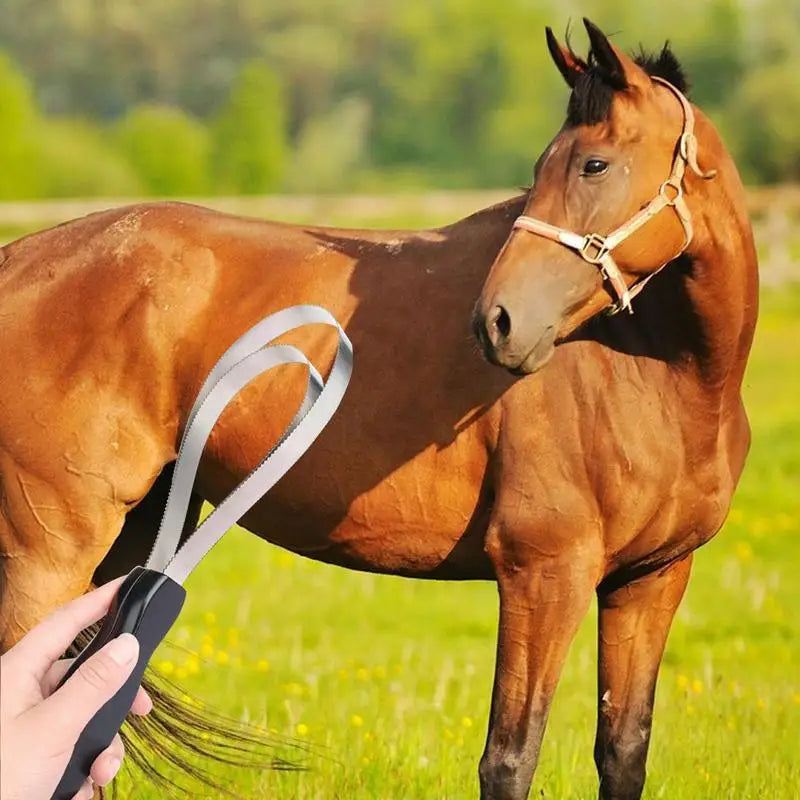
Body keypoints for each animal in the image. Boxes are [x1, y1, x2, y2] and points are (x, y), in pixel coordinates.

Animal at [0, 17, 756, 800]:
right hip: (50, 555)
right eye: (548, 166)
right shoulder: (544, 575)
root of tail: (18, 260)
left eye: (595, 165)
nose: (497, 322)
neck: (659, 373)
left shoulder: (651, 580)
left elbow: (622, 751)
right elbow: (510, 757)